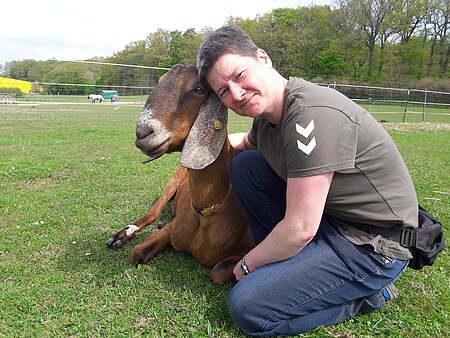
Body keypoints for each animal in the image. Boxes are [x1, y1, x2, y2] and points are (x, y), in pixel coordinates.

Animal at [105, 64, 253, 284]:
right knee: (153, 212)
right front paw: (155, 230)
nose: (143, 133)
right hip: (172, 182)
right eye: (159, 81)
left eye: (199, 89)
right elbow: (136, 253)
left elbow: (218, 272)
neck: (206, 216)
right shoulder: (172, 230)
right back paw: (120, 235)